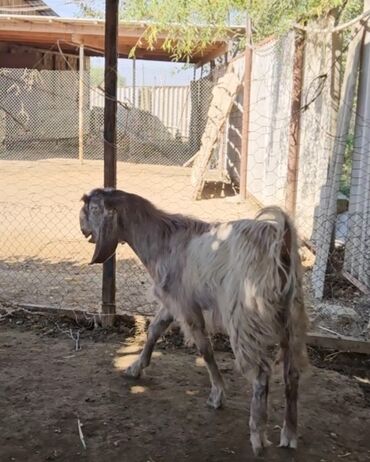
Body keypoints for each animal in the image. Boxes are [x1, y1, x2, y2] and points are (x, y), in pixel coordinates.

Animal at [80, 187, 310, 454]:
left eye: (91, 208)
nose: (82, 226)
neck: (163, 238)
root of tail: (280, 242)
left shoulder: (186, 305)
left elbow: (205, 349)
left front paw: (217, 395)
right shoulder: (174, 301)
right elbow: (154, 330)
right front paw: (135, 368)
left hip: (245, 316)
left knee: (261, 374)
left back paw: (258, 437)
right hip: (292, 317)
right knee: (292, 373)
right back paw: (289, 433)